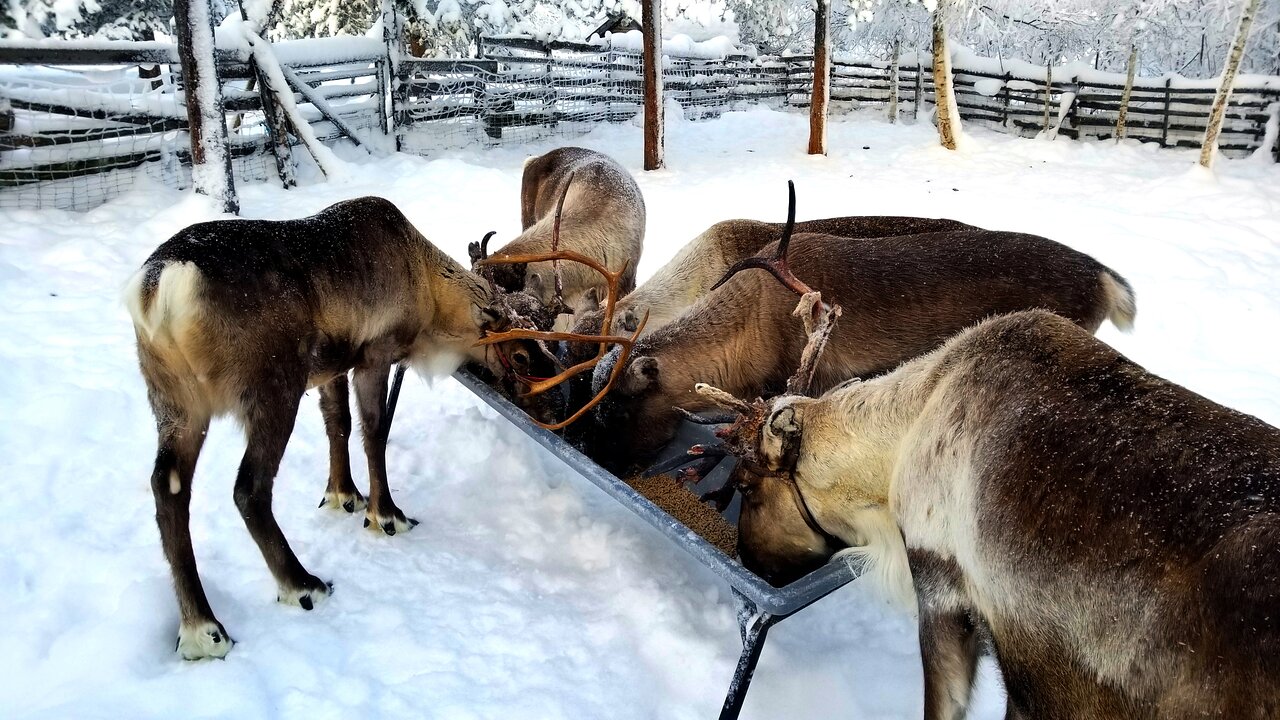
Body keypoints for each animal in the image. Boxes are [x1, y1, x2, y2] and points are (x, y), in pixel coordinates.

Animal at [125, 195, 533, 661]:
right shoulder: (375, 355)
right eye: (515, 348)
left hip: (178, 406)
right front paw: (385, 514)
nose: (528, 375)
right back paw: (303, 585)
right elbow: (373, 433)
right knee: (249, 488)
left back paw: (202, 630)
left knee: (167, 488)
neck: (425, 282)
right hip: (272, 391)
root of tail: (161, 285)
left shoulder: (331, 368)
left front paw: (343, 495)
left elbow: (338, 422)